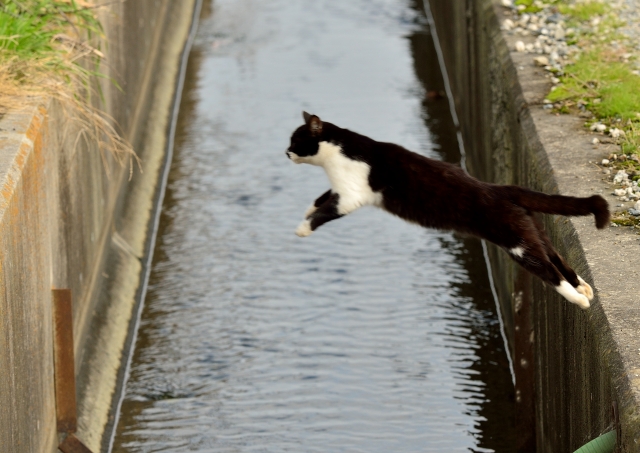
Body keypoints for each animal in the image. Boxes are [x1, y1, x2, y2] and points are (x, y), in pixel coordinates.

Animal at [284, 110, 608, 308]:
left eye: (296, 141)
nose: (285, 152)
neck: (338, 151)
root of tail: (502, 188)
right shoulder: (340, 189)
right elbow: (321, 198)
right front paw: (306, 210)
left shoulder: (351, 193)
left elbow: (327, 210)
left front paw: (302, 228)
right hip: (534, 232)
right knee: (558, 259)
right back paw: (584, 288)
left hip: (517, 243)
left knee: (549, 270)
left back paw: (578, 300)